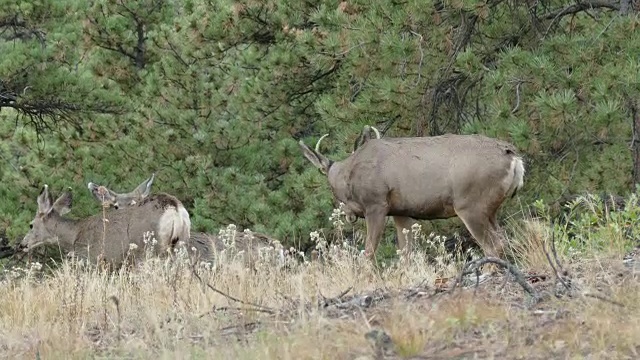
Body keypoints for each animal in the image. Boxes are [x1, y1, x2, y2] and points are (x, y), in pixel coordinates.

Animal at [18, 184, 191, 268]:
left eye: (30, 225)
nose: (22, 244)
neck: (74, 235)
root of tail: (174, 207)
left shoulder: (91, 258)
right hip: (181, 244)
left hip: (149, 249)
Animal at [300, 126, 524, 262]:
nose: (348, 215)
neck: (348, 175)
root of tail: (514, 158)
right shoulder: (402, 211)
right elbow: (406, 254)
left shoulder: (377, 204)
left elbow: (369, 251)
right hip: (490, 208)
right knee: (504, 240)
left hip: (470, 205)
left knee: (493, 246)